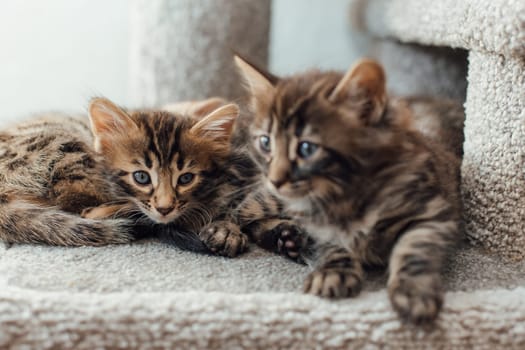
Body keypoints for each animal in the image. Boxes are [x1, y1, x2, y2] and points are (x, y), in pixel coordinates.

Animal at [233, 56, 458, 324]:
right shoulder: (316, 224)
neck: (345, 197)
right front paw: (334, 272)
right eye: (266, 142)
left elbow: (416, 250)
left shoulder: (429, 211)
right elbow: (332, 246)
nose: (275, 179)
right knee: (241, 213)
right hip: (267, 199)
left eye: (306, 148)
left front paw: (414, 292)